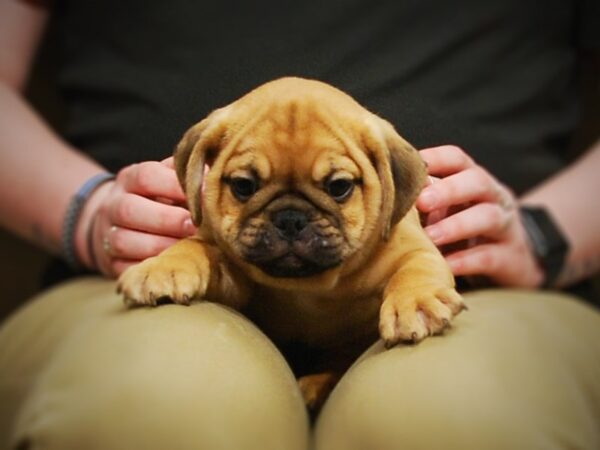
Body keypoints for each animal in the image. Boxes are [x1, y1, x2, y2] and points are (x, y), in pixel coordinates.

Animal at [117, 78, 464, 412]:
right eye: (244, 185)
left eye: (339, 186)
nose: (290, 219)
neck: (309, 287)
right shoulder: (232, 280)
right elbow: (196, 248)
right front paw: (164, 268)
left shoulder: (411, 249)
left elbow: (415, 270)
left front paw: (416, 303)